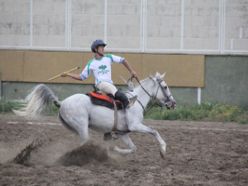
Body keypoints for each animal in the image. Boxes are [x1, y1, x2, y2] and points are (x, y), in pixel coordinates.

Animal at [13, 72, 176, 159]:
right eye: (165, 86)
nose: (173, 103)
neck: (136, 101)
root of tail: (62, 102)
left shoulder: (123, 132)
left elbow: (133, 148)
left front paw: (114, 150)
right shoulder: (135, 126)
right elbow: (154, 131)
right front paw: (163, 150)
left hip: (76, 129)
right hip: (82, 127)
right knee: (83, 144)